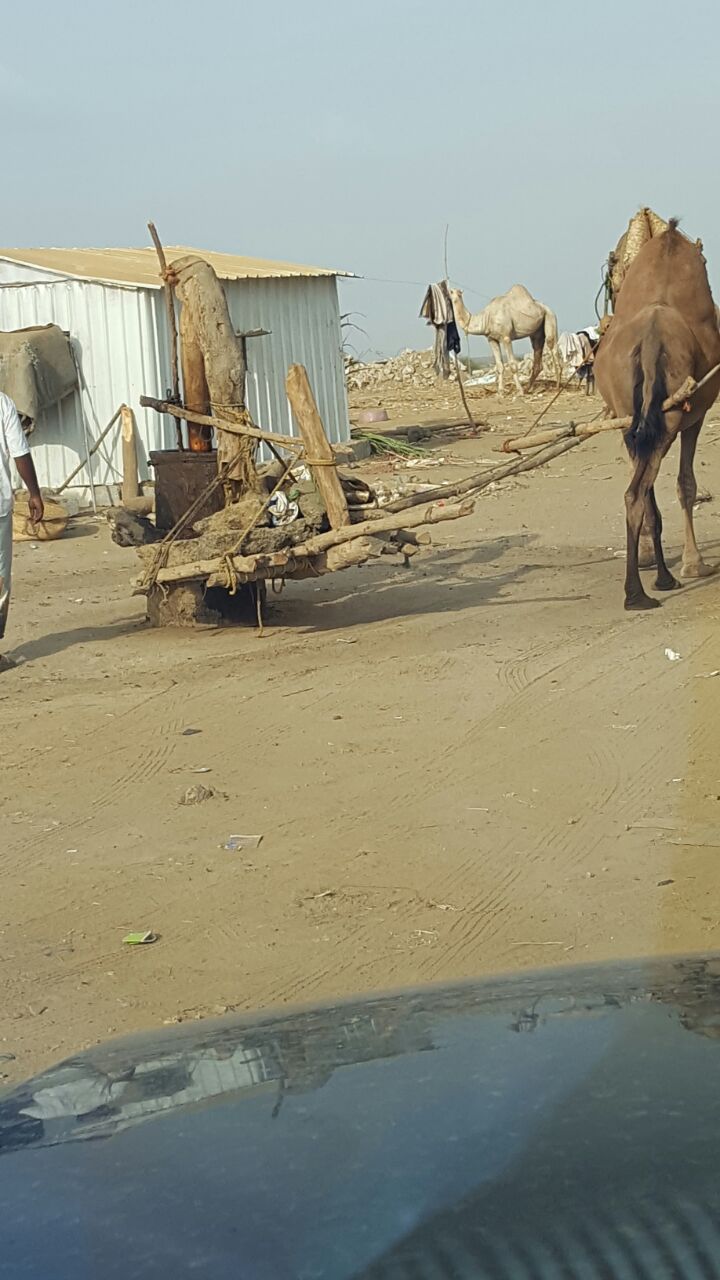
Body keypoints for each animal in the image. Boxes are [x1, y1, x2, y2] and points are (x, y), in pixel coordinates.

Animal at [591, 220, 717, 609]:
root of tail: (650, 341)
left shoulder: (630, 424)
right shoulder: (696, 413)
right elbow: (686, 484)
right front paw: (695, 565)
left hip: (635, 413)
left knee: (636, 494)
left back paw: (651, 582)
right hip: (673, 413)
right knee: (642, 491)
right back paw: (639, 592)